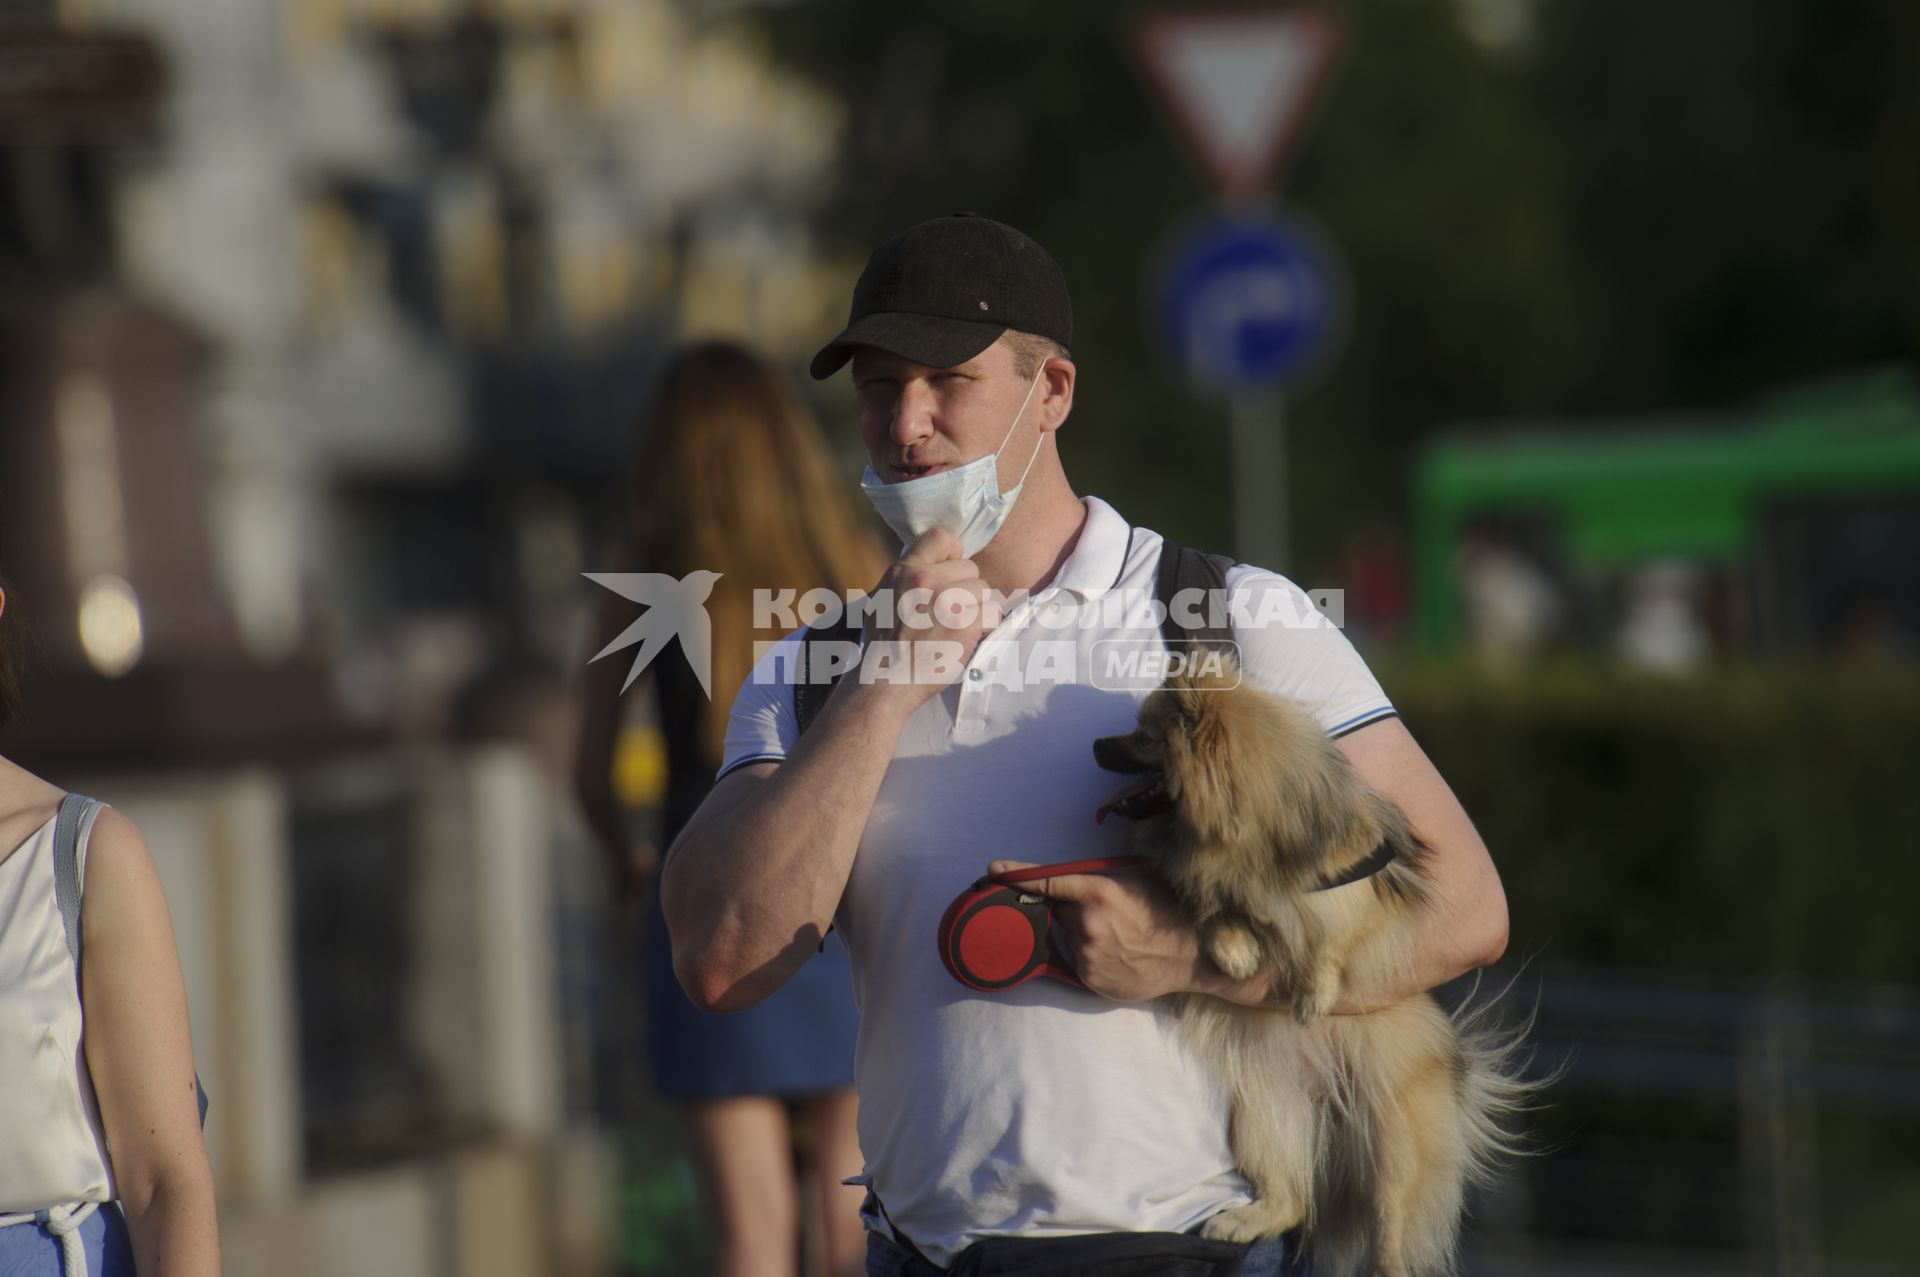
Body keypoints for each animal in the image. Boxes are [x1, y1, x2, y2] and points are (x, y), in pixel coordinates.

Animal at [1098, 660, 1528, 1267]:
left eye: (1143, 738)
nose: (1095, 745)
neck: (1243, 847)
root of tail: (1327, 1097)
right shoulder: (1200, 885)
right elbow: (1214, 913)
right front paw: (1237, 949)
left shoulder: (1362, 902)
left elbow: (1334, 940)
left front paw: (1314, 993)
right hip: (1264, 1116)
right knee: (1292, 1199)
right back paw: (1242, 1221)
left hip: (1394, 1135)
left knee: (1390, 1231)